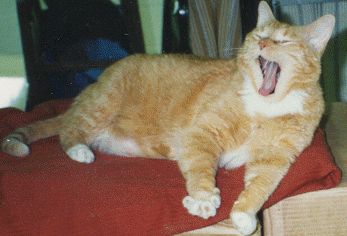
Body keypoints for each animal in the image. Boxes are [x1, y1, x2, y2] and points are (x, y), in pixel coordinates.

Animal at [1, 2, 336, 236]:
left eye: (283, 41)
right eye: (260, 35)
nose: (263, 45)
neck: (266, 106)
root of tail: (87, 92)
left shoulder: (274, 160)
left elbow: (260, 187)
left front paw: (243, 216)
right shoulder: (201, 134)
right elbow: (201, 169)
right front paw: (203, 199)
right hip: (101, 106)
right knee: (68, 132)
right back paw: (79, 151)